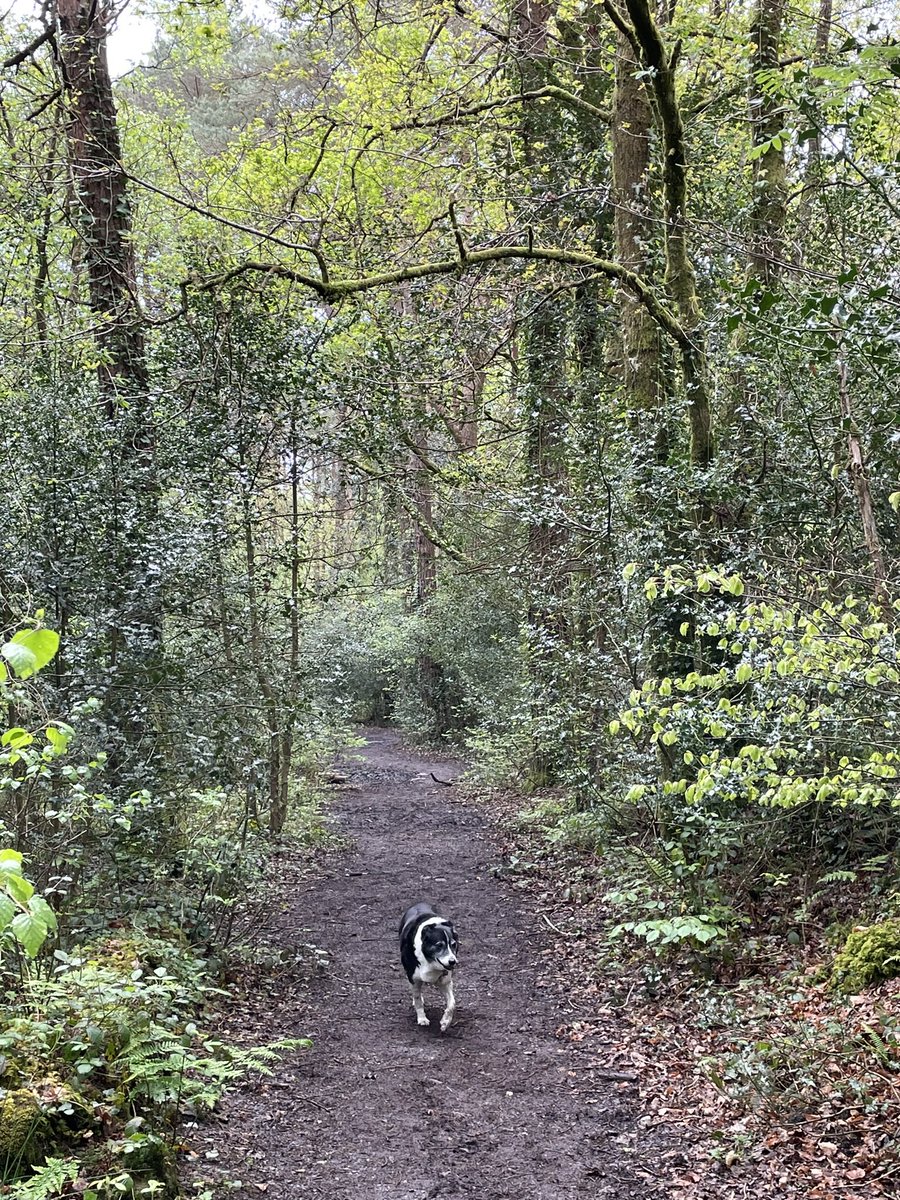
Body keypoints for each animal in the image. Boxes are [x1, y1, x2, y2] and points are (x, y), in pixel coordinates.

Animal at [400, 902, 460, 1032]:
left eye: (454, 945)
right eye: (439, 945)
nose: (452, 961)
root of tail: (419, 903)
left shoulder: (445, 982)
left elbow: (452, 1003)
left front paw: (445, 1021)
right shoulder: (414, 979)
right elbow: (417, 999)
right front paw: (422, 1019)